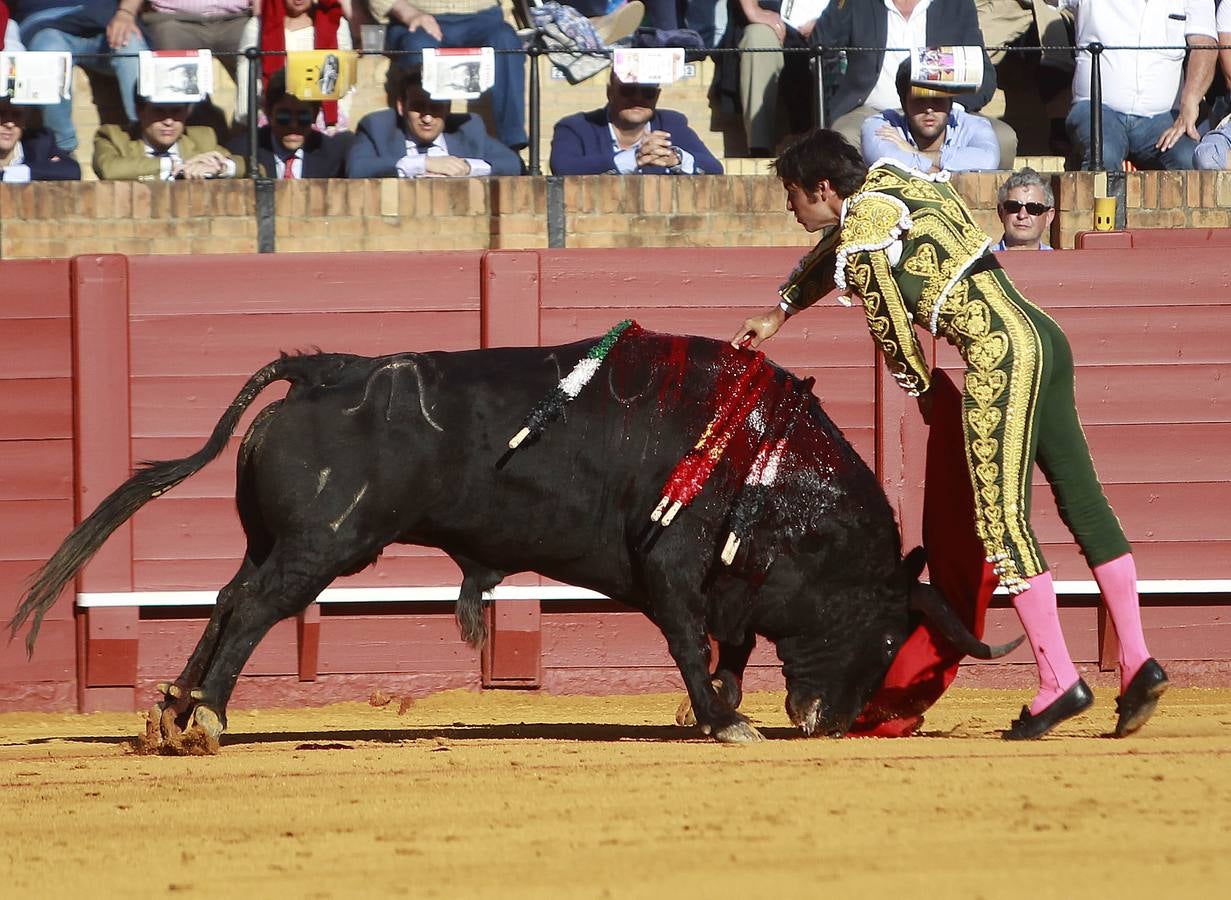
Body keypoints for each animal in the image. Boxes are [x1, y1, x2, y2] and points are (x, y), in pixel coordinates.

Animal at [9, 329, 1014, 748]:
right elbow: (690, 641)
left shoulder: (721, 583)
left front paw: (718, 712)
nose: (833, 723)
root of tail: (328, 369)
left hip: (280, 539)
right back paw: (207, 719)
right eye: (884, 631)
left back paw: (173, 711)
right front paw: (724, 723)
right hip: (323, 545)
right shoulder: (674, 565)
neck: (763, 466)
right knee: (256, 608)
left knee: (226, 598)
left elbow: (722, 646)